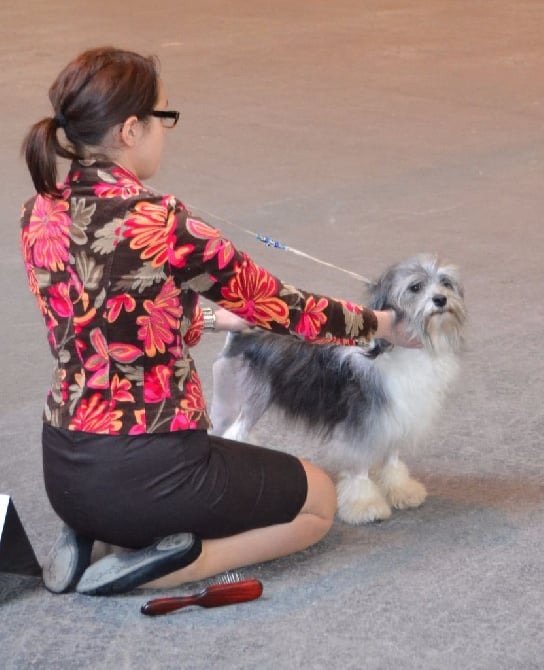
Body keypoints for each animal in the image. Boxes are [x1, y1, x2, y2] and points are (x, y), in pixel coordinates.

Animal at [210, 256, 466, 524]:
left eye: (445, 283)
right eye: (415, 287)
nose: (441, 299)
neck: (395, 350)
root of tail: (243, 335)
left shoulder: (397, 418)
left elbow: (392, 461)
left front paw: (401, 490)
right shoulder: (362, 426)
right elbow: (360, 468)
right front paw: (365, 506)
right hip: (243, 401)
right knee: (234, 431)